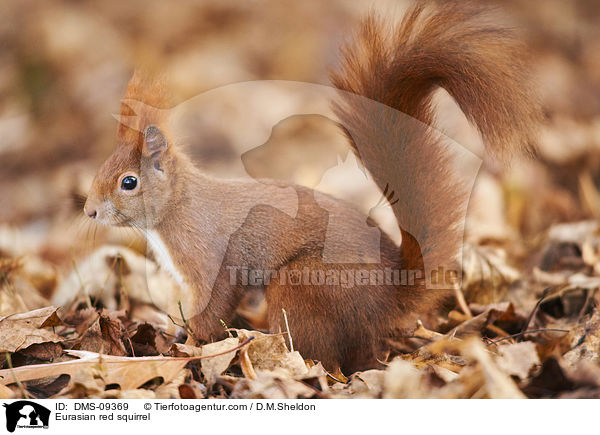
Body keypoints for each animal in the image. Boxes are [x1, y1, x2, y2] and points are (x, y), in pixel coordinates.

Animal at [81, 1, 540, 372]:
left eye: (128, 182)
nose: (89, 211)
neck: (177, 210)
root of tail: (392, 293)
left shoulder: (211, 258)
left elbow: (213, 306)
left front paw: (189, 342)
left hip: (303, 284)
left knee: (322, 354)